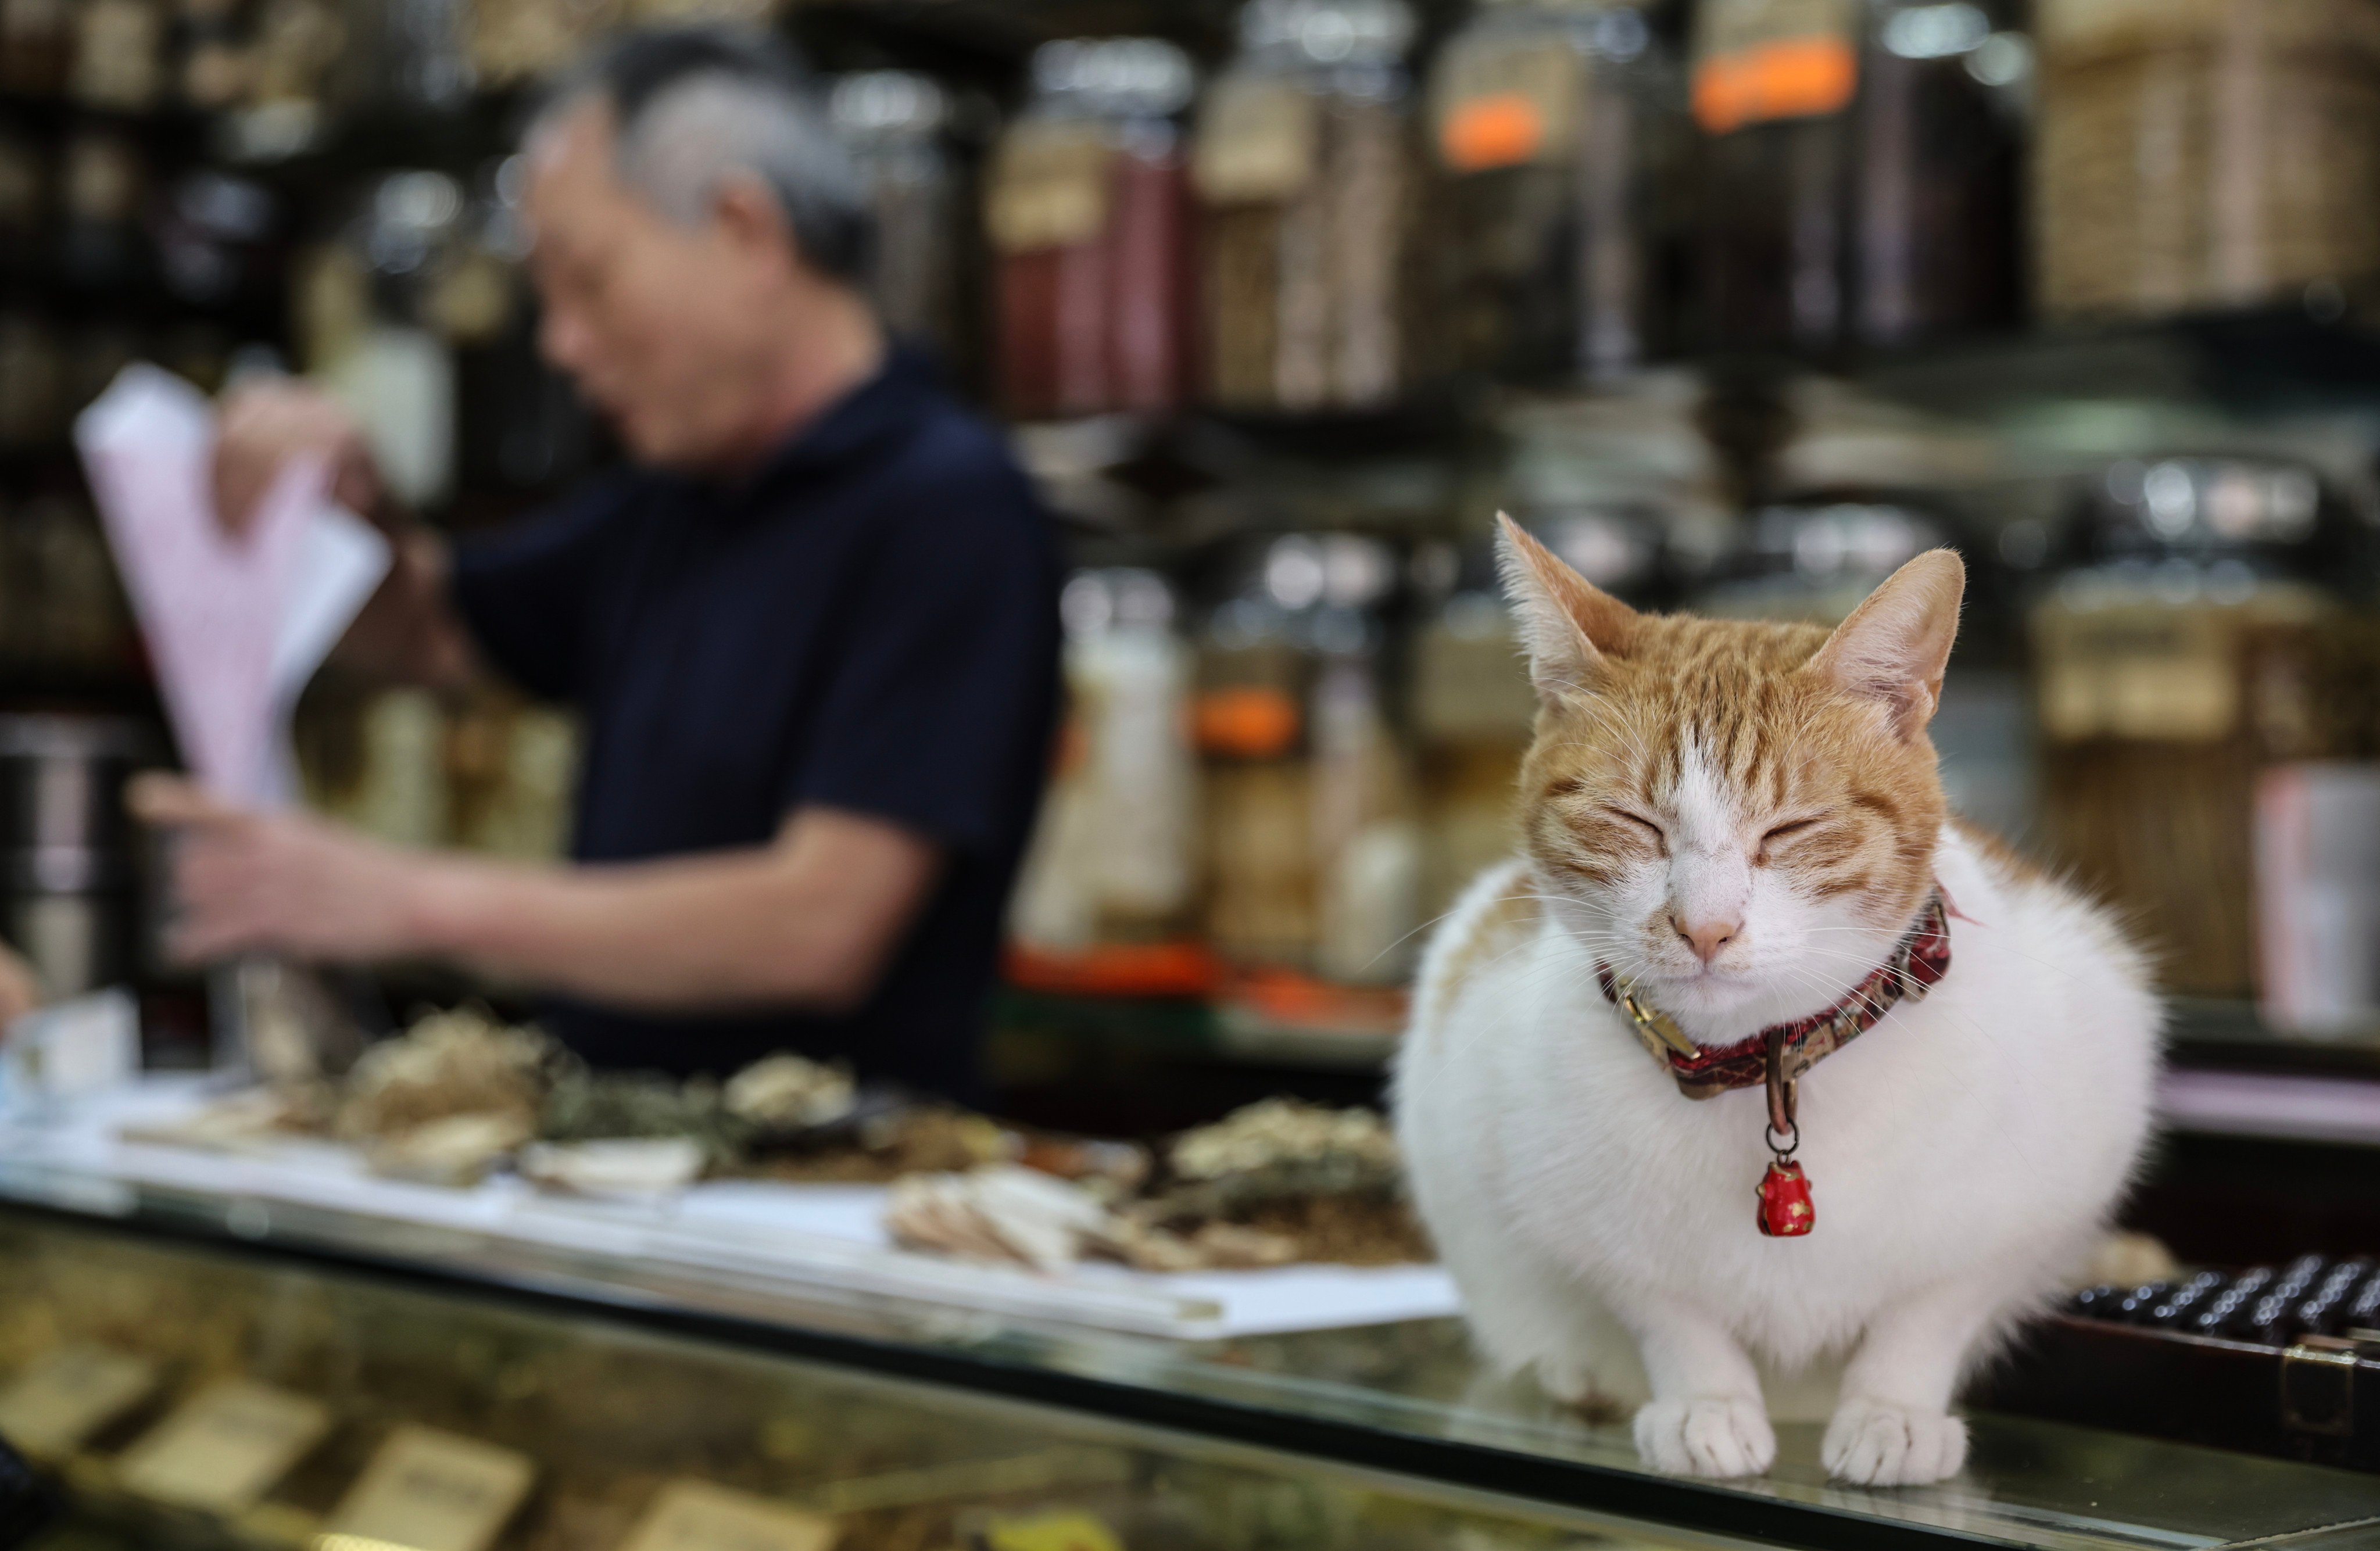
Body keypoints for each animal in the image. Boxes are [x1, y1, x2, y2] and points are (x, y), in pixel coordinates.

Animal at [1390, 523, 2161, 1493]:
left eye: (1788, 831)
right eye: (1633, 823)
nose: (1704, 927)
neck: (1758, 1065)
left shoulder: (2036, 1195)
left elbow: (1926, 1314)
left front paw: (1893, 1412)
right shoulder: (1577, 1219)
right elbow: (1671, 1314)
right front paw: (1705, 1404)